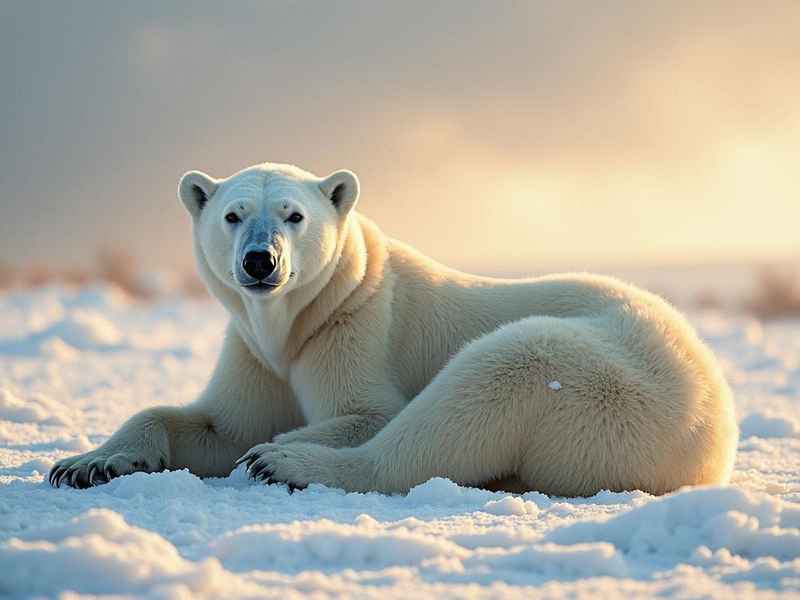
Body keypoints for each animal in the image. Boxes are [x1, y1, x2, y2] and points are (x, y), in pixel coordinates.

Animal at [49, 162, 738, 496]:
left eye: (294, 215)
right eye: (232, 214)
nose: (260, 262)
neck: (303, 318)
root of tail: (716, 422)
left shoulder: (356, 329)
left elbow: (369, 411)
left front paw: (273, 447)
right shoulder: (254, 350)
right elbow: (220, 422)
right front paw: (86, 463)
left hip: (610, 388)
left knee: (483, 386)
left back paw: (287, 463)